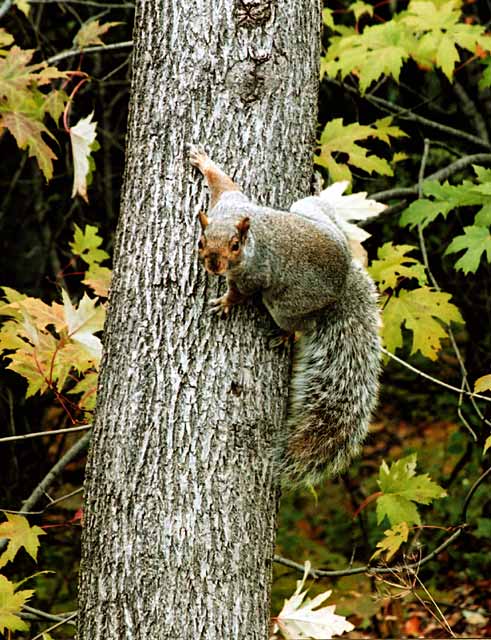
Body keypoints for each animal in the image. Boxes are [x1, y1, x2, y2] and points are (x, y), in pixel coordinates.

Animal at [186, 144, 382, 484]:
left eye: (235, 246)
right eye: (201, 241)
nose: (213, 264)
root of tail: (344, 279)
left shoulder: (253, 276)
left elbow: (241, 292)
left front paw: (226, 302)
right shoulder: (229, 201)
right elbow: (226, 183)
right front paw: (204, 162)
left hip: (284, 306)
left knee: (300, 322)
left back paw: (285, 334)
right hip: (308, 210)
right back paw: (318, 186)